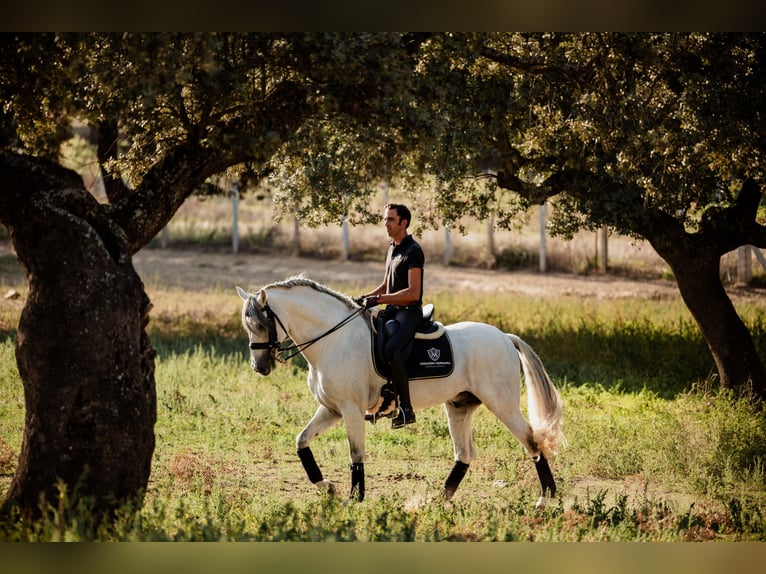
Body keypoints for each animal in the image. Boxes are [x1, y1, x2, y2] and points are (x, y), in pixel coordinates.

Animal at [237, 278, 568, 508]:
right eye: (247, 326)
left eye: (263, 323)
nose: (260, 367)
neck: (332, 339)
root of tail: (504, 337)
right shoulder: (331, 409)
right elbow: (302, 441)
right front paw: (327, 486)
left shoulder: (350, 409)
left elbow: (356, 454)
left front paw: (353, 498)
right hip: (459, 406)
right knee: (464, 454)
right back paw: (436, 501)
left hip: (502, 404)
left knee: (532, 441)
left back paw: (545, 499)